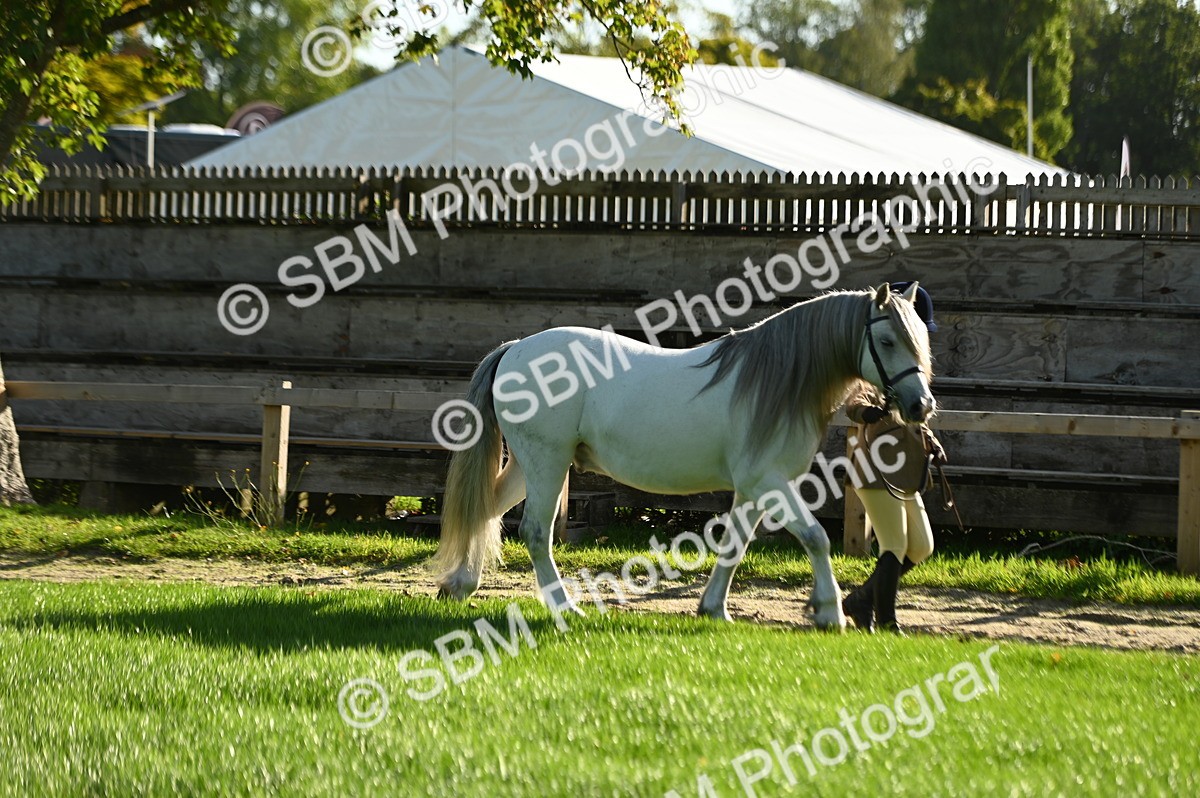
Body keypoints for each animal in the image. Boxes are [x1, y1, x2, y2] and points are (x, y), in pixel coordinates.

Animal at [433, 283, 935, 630]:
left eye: (920, 340)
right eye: (887, 341)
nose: (921, 406)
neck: (776, 382)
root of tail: (515, 349)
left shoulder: (752, 489)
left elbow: (734, 545)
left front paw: (713, 609)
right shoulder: (770, 484)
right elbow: (815, 538)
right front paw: (830, 613)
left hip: (530, 465)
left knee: (488, 511)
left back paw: (459, 586)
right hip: (547, 463)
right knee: (536, 533)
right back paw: (565, 606)